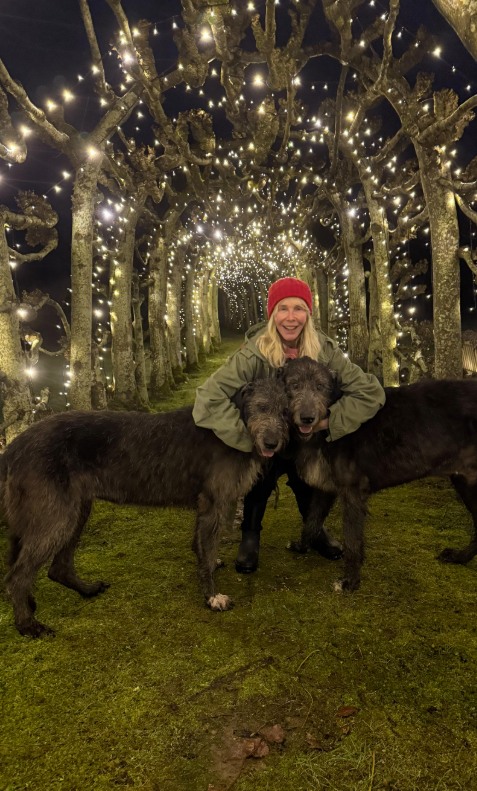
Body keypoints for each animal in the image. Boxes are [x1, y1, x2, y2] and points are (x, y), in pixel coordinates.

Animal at [0, 378, 290, 636]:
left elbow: (202, 547)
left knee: (56, 568)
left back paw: (84, 590)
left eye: (285, 412)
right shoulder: (212, 503)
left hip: (76, 509)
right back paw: (28, 625)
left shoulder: (207, 506)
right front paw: (211, 597)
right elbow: (207, 553)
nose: (272, 443)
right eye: (262, 406)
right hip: (56, 515)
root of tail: (14, 446)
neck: (235, 423)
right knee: (17, 576)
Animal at [280, 358, 476, 592]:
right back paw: (460, 557)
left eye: (320, 386)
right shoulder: (324, 488)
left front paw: (350, 582)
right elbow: (312, 521)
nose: (307, 418)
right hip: (465, 480)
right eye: (294, 385)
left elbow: (352, 540)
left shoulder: (353, 491)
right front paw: (301, 546)